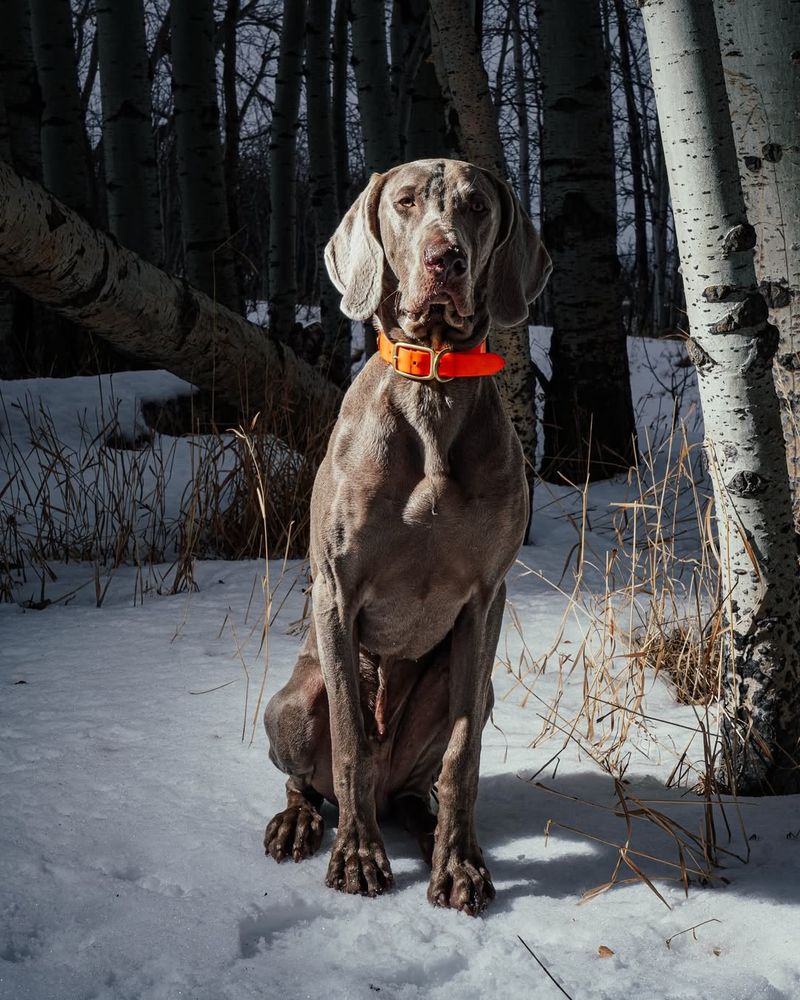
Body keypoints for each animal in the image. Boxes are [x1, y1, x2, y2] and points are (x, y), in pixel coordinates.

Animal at [262, 158, 552, 916]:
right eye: (404, 202)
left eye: (477, 207)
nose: (443, 258)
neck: (435, 380)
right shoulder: (336, 591)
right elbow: (350, 746)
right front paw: (359, 859)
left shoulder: (485, 598)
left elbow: (462, 758)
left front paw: (460, 865)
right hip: (290, 703)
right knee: (318, 778)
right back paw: (300, 821)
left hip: (465, 689)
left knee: (414, 782)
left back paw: (424, 827)